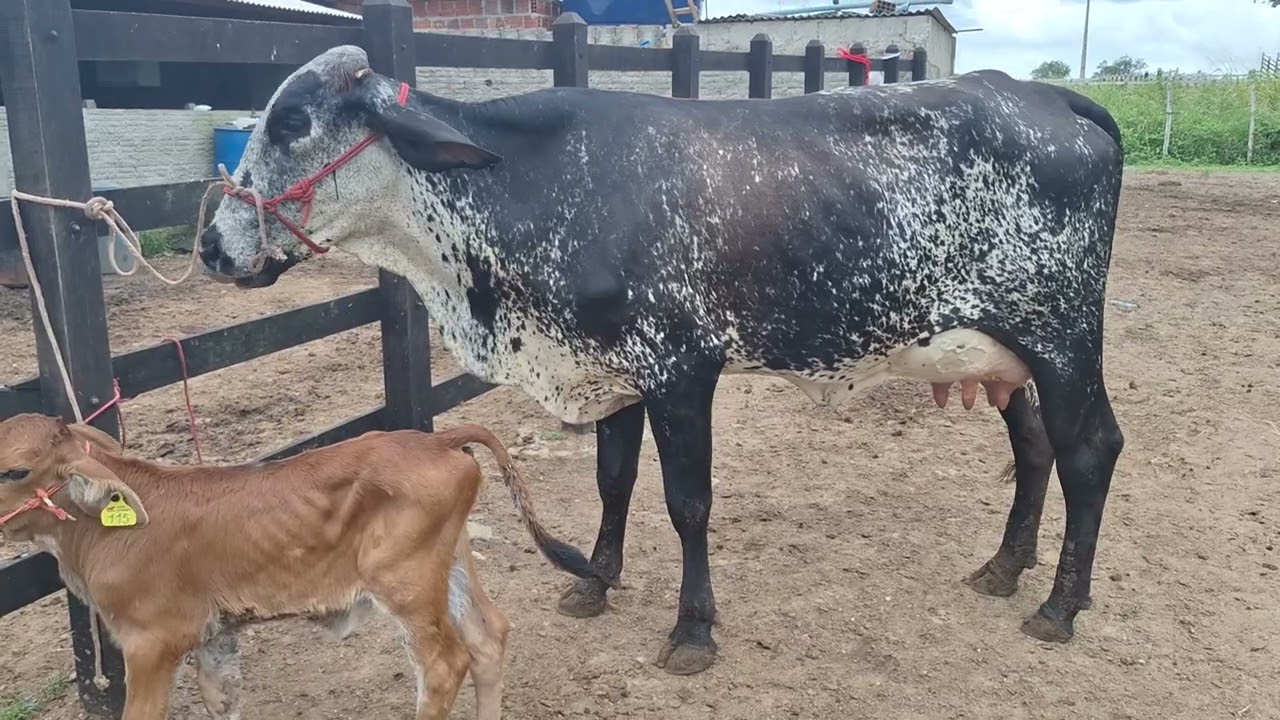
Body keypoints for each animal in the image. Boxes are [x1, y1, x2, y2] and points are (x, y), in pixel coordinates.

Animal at [197, 45, 1126, 676]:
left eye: (293, 122)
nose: (212, 244)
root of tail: (1050, 96)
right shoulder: (614, 376)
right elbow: (614, 482)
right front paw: (594, 582)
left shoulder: (682, 373)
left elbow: (687, 504)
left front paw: (692, 630)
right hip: (1005, 356)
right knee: (1035, 446)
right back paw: (1004, 568)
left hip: (1063, 337)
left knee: (1089, 451)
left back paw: (1059, 605)